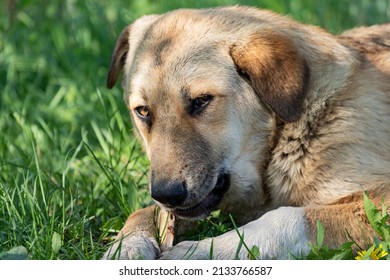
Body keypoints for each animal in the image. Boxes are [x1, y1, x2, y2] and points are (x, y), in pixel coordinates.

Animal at [101, 6, 390, 260]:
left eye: (201, 101)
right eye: (143, 111)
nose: (166, 194)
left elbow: (287, 217)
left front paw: (202, 252)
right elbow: (143, 212)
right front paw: (127, 246)